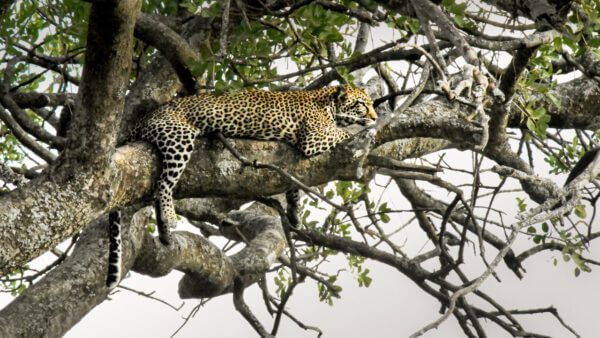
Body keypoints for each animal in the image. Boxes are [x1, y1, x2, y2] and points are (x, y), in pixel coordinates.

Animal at [103, 84, 376, 288]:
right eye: (363, 104)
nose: (374, 116)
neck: (327, 103)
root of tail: (141, 120)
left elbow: (293, 184)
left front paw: (294, 214)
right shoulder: (314, 137)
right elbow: (342, 134)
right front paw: (369, 133)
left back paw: (163, 229)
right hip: (178, 136)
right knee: (163, 184)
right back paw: (168, 215)